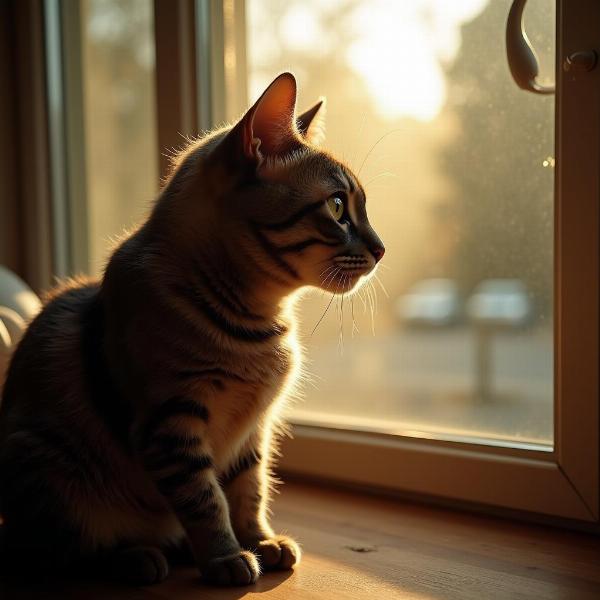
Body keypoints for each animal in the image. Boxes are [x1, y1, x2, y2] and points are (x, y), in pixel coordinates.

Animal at [0, 71, 384, 584]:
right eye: (339, 207)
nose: (381, 249)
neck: (261, 323)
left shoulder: (254, 431)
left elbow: (249, 492)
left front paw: (260, 541)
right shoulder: (172, 425)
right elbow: (206, 500)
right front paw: (225, 556)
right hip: (47, 467)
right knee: (63, 551)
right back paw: (135, 557)